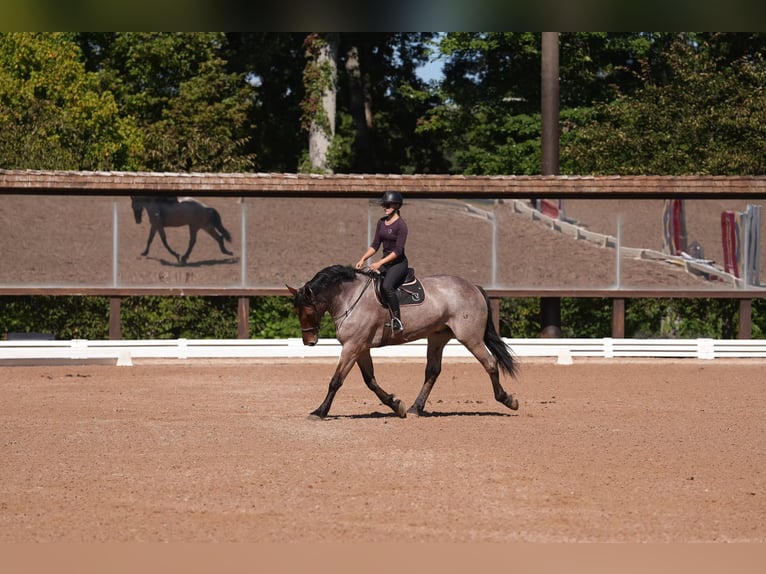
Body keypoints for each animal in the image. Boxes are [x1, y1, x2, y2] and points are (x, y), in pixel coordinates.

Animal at [287, 264, 519, 419]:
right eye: (296, 311)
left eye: (309, 310)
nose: (309, 341)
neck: (350, 298)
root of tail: (473, 287)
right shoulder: (360, 348)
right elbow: (370, 380)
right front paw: (395, 405)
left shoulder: (352, 346)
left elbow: (336, 381)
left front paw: (319, 411)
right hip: (438, 336)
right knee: (433, 371)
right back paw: (416, 408)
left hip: (470, 337)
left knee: (490, 363)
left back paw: (508, 400)